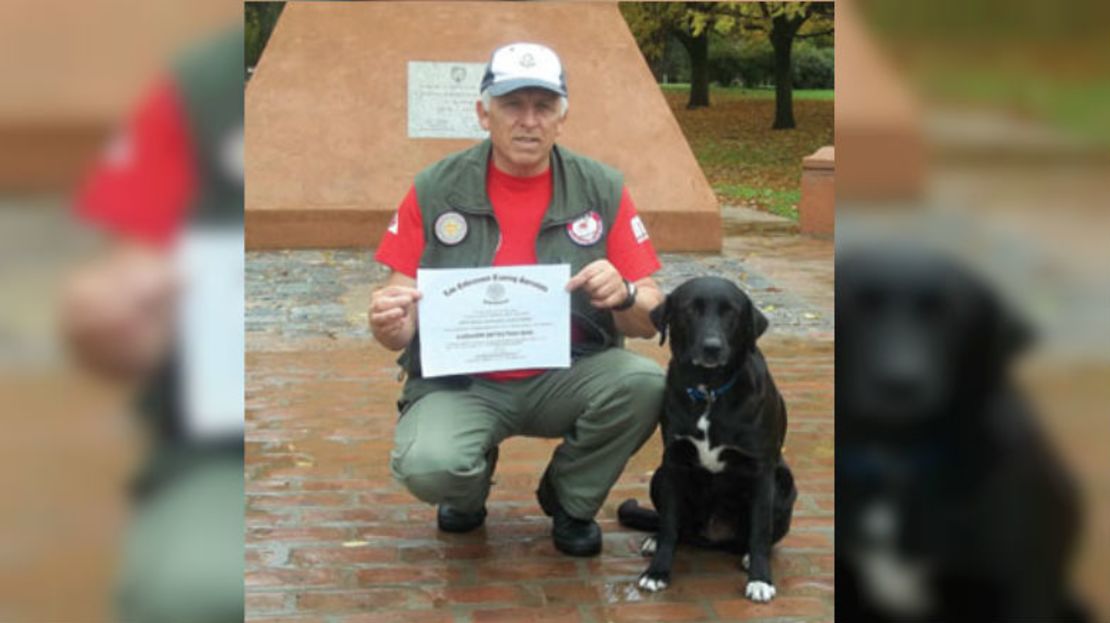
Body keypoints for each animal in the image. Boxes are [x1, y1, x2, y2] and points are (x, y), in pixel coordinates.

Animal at [621, 274, 794, 599]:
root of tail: (712, 537)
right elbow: (670, 526)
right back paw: (654, 538)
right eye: (690, 309)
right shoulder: (674, 463)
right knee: (677, 528)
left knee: (760, 536)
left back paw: (749, 556)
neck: (709, 391)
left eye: (731, 313)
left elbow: (760, 530)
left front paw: (760, 579)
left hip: (784, 483)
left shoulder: (761, 470)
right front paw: (657, 572)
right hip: (658, 476)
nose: (712, 347)